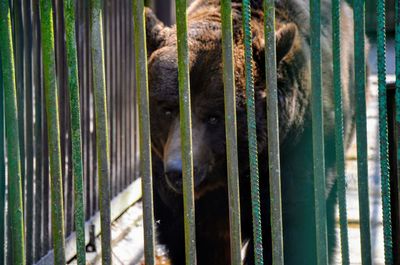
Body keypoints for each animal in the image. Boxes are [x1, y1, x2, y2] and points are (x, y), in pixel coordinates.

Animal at [145, 1, 354, 262]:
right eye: (167, 109)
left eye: (214, 117)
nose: (178, 170)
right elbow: (197, 239)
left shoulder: (297, 152)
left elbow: (293, 231)